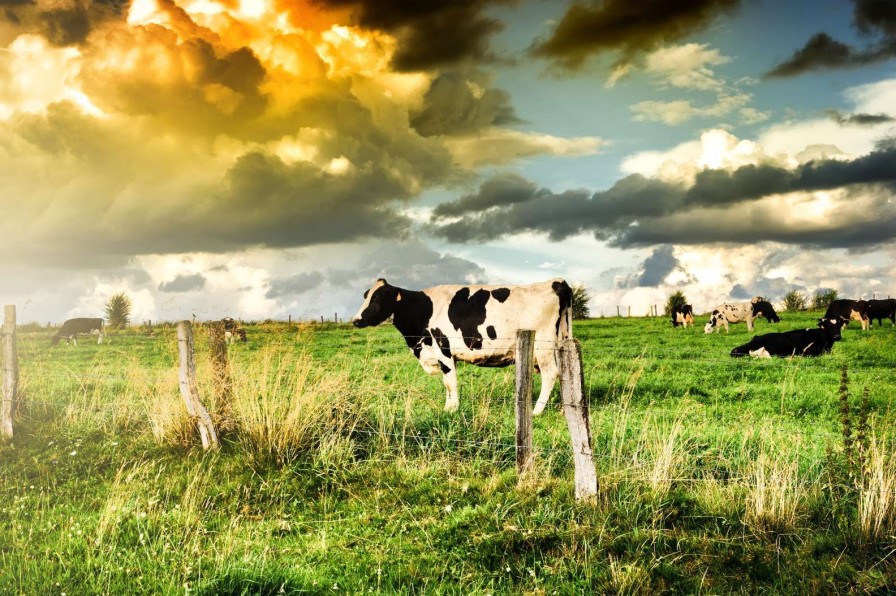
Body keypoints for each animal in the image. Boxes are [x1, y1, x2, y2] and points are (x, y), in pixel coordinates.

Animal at [352, 278, 572, 414]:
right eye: (365, 295)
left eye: (378, 296)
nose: (356, 320)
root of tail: (556, 282)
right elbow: (447, 382)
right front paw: (449, 406)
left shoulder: (443, 350)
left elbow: (450, 382)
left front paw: (451, 409)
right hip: (562, 341)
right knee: (565, 373)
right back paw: (564, 408)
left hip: (543, 348)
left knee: (550, 374)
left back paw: (537, 411)